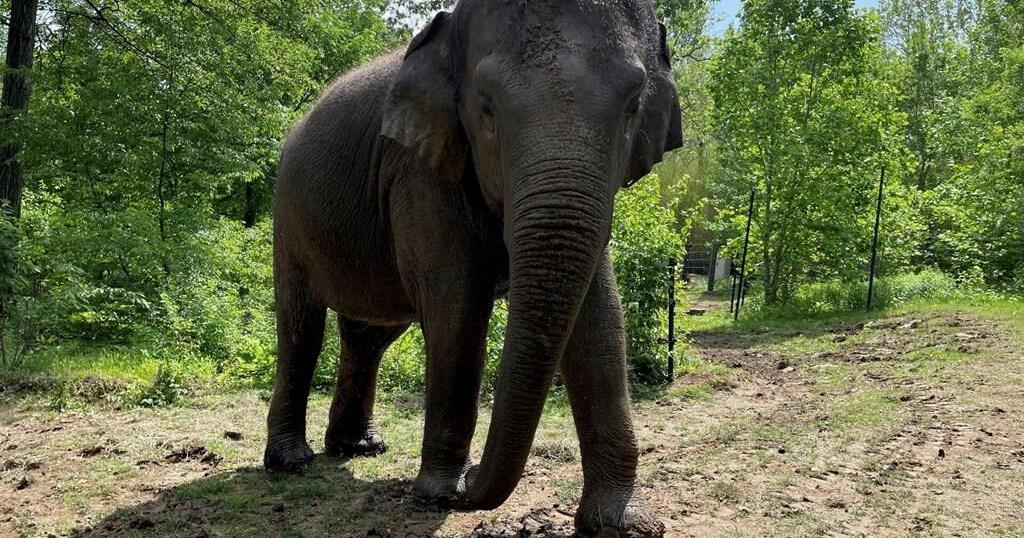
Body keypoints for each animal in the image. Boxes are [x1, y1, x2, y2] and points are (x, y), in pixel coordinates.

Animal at [264, 0, 682, 535]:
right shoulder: (419, 168)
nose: (474, 476)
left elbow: (600, 319)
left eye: (632, 107)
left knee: (369, 336)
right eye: (486, 108)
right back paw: (291, 463)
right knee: (301, 328)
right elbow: (456, 305)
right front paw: (440, 493)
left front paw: (621, 523)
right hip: (288, 214)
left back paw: (359, 448)